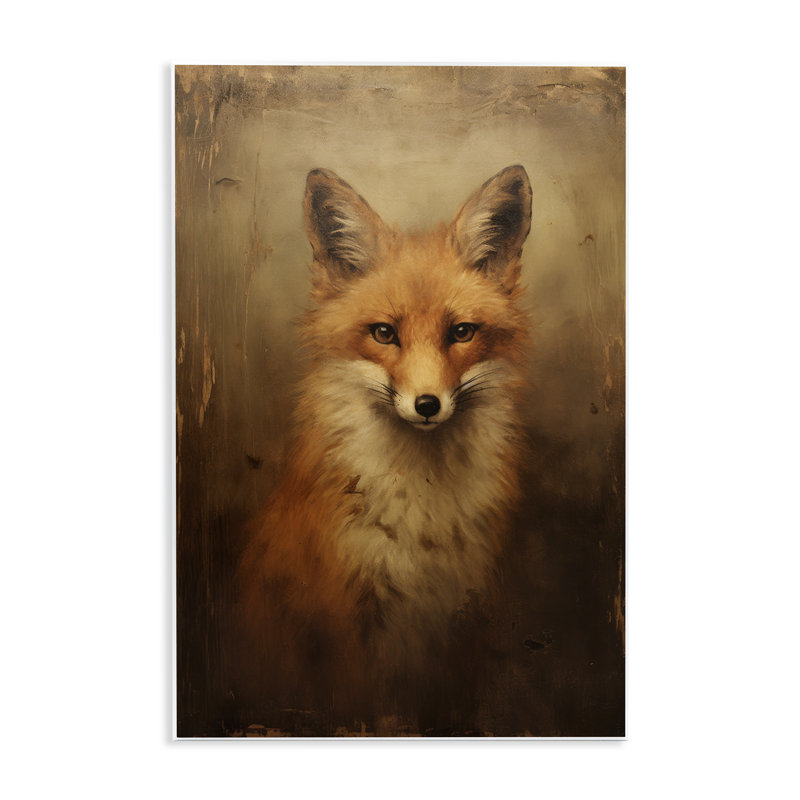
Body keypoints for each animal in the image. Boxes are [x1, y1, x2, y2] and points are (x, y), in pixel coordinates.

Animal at [236, 164, 533, 734]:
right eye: (383, 333)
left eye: (461, 332)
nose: (427, 404)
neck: (423, 512)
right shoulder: (345, 618)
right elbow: (364, 713)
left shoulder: (464, 612)